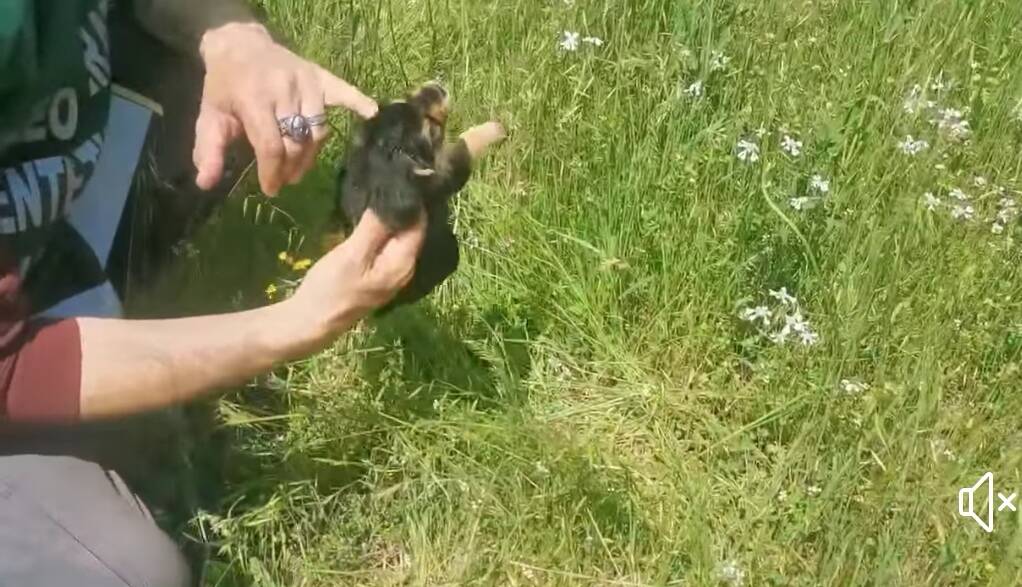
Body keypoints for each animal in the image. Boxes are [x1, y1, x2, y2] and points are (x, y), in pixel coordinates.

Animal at [335, 83, 506, 314]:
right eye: (431, 127)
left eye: (404, 99)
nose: (434, 88)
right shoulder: (445, 175)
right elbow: (464, 146)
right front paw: (496, 129)